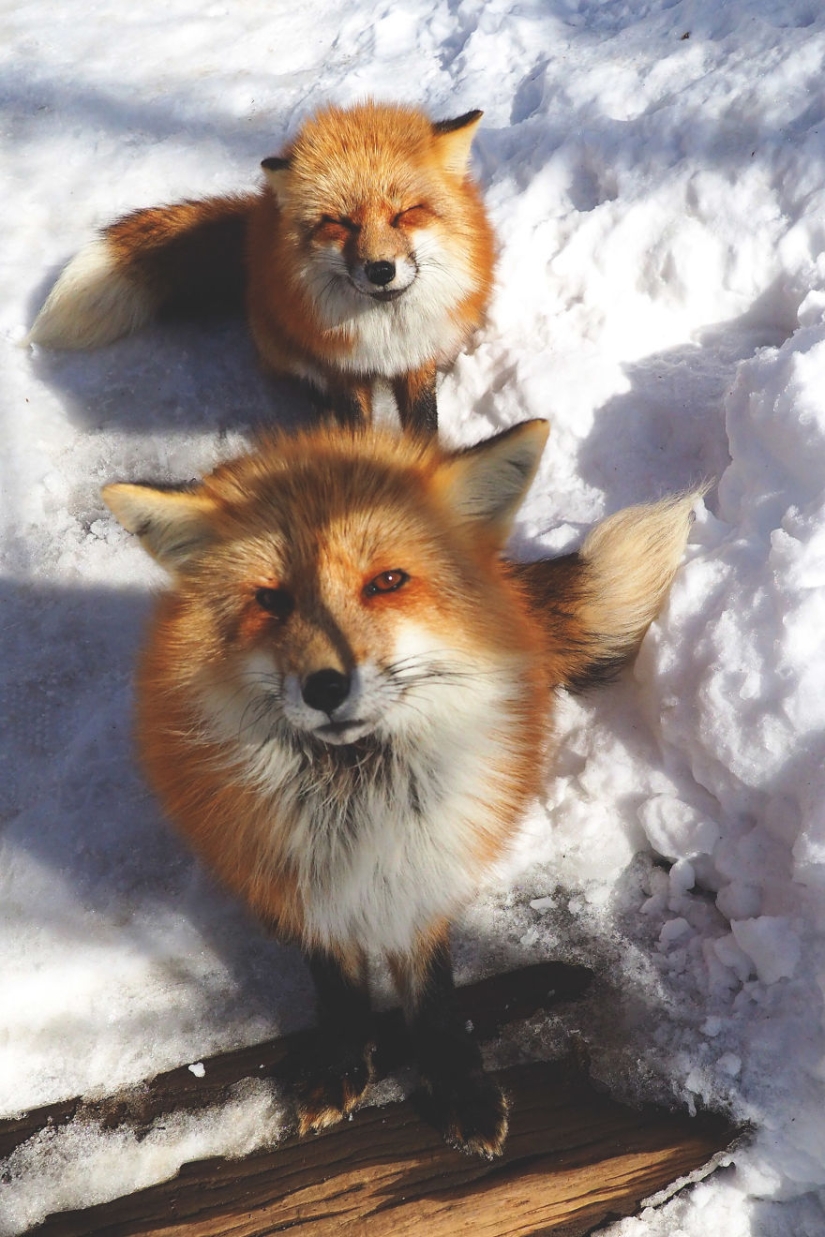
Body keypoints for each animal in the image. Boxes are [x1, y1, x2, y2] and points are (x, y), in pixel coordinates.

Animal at [29, 100, 496, 435]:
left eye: (406, 214)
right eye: (340, 223)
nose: (381, 270)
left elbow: (424, 426)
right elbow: (354, 423)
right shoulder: (341, 369)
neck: (386, 333)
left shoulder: (416, 358)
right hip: (276, 339)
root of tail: (257, 221)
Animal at [102, 420, 699, 1158]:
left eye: (387, 582)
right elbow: (338, 983)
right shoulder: (302, 873)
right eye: (271, 599)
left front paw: (456, 1081)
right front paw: (341, 1059)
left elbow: (433, 994)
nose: (326, 686)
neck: (358, 794)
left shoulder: (424, 863)